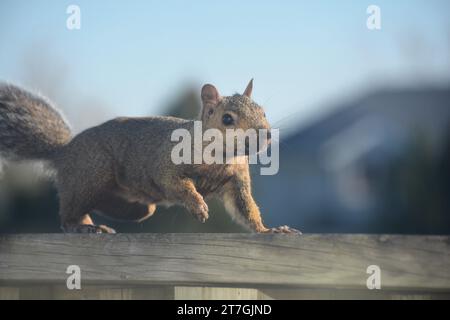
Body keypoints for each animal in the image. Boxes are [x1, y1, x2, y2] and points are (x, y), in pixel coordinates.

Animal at [0, 79, 298, 235]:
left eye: (263, 111)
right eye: (227, 119)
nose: (266, 135)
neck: (222, 156)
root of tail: (64, 152)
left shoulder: (236, 181)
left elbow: (245, 209)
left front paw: (269, 230)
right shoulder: (166, 163)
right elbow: (178, 185)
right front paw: (197, 205)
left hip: (133, 206)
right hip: (90, 175)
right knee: (68, 216)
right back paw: (85, 228)